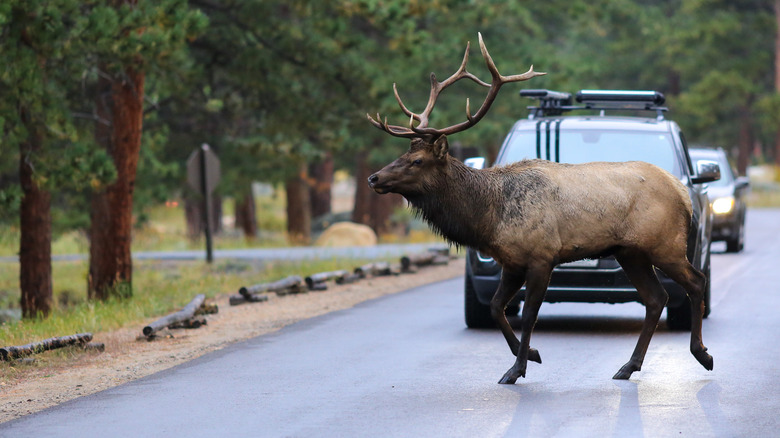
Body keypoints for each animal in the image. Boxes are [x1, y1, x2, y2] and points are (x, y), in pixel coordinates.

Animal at [366, 34, 712, 384]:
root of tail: (682, 191)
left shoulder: (541, 256)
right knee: (656, 298)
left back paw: (702, 354)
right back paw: (629, 366)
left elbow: (530, 313)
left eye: (417, 160)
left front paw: (517, 368)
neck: (488, 217)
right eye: (401, 154)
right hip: (631, 252)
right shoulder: (511, 261)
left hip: (666, 244)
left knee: (696, 281)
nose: (374, 177)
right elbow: (496, 307)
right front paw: (531, 354)